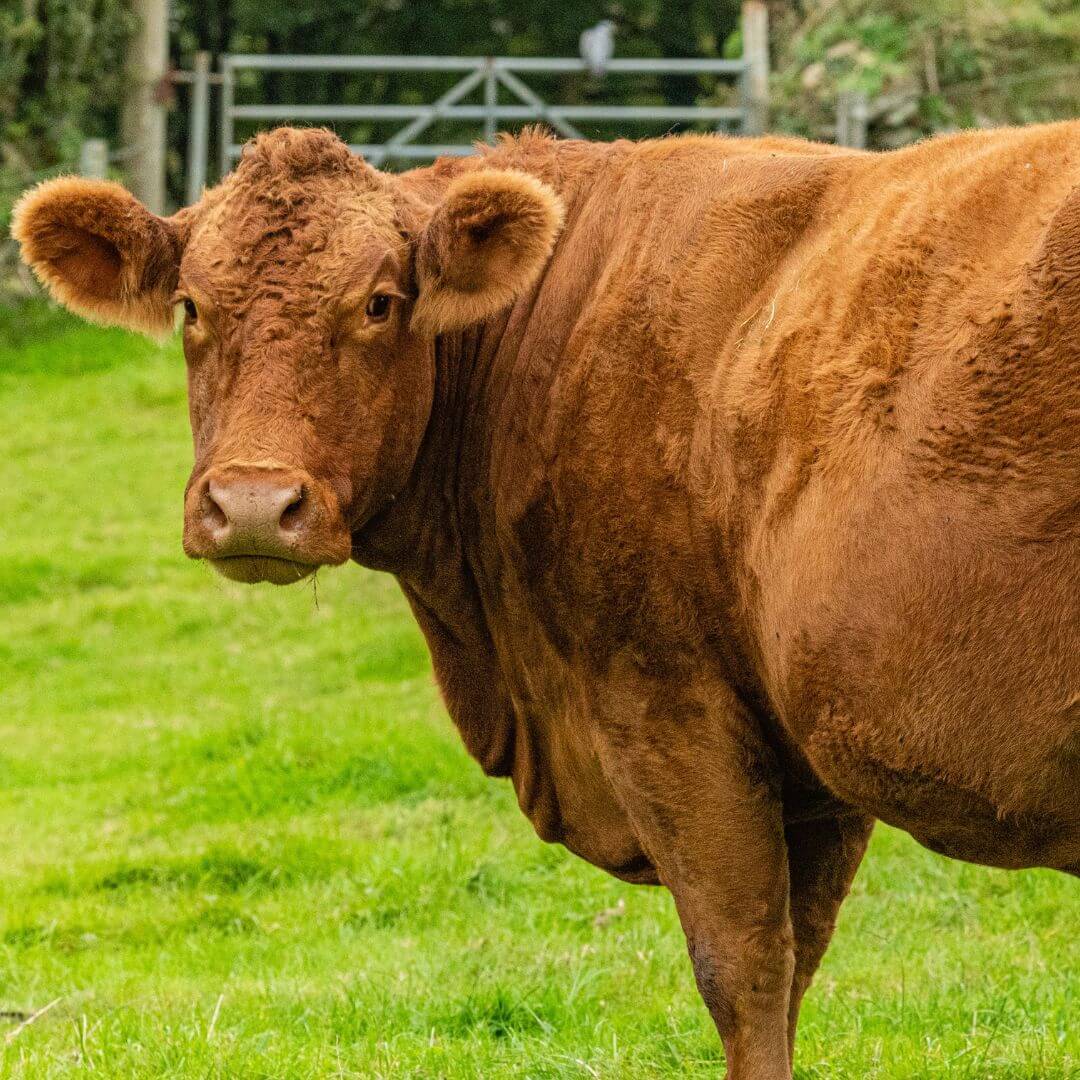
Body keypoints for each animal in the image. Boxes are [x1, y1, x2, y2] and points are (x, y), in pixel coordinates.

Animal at [14, 122, 1080, 1079]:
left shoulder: (668, 705)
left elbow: (743, 971)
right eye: (193, 307)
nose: (251, 504)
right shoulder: (810, 761)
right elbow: (795, 962)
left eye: (381, 302)